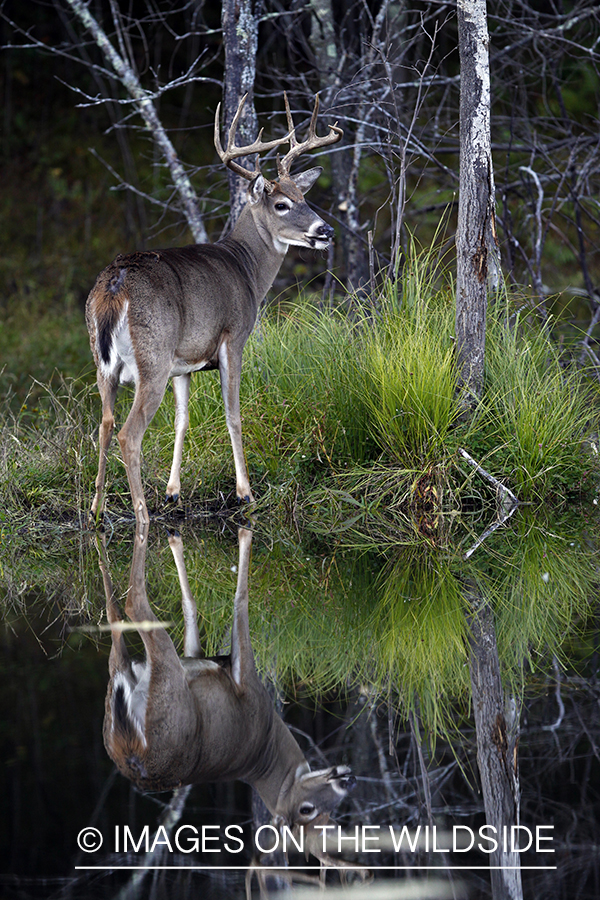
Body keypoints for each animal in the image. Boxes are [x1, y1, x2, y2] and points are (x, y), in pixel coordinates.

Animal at [85, 93, 342, 528]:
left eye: (305, 199)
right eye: (282, 204)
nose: (325, 231)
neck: (247, 268)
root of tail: (114, 285)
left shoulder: (184, 361)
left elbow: (183, 419)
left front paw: (173, 493)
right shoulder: (233, 337)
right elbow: (233, 414)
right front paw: (245, 493)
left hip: (105, 362)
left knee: (104, 424)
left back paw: (97, 509)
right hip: (151, 357)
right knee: (128, 433)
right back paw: (141, 515)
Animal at [97, 528, 366, 880]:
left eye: (329, 812)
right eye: (308, 810)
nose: (349, 779)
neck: (268, 741)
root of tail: (133, 752)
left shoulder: (213, 666)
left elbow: (198, 607)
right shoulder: (247, 680)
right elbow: (236, 602)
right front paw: (240, 528)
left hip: (138, 681)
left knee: (122, 613)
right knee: (132, 606)